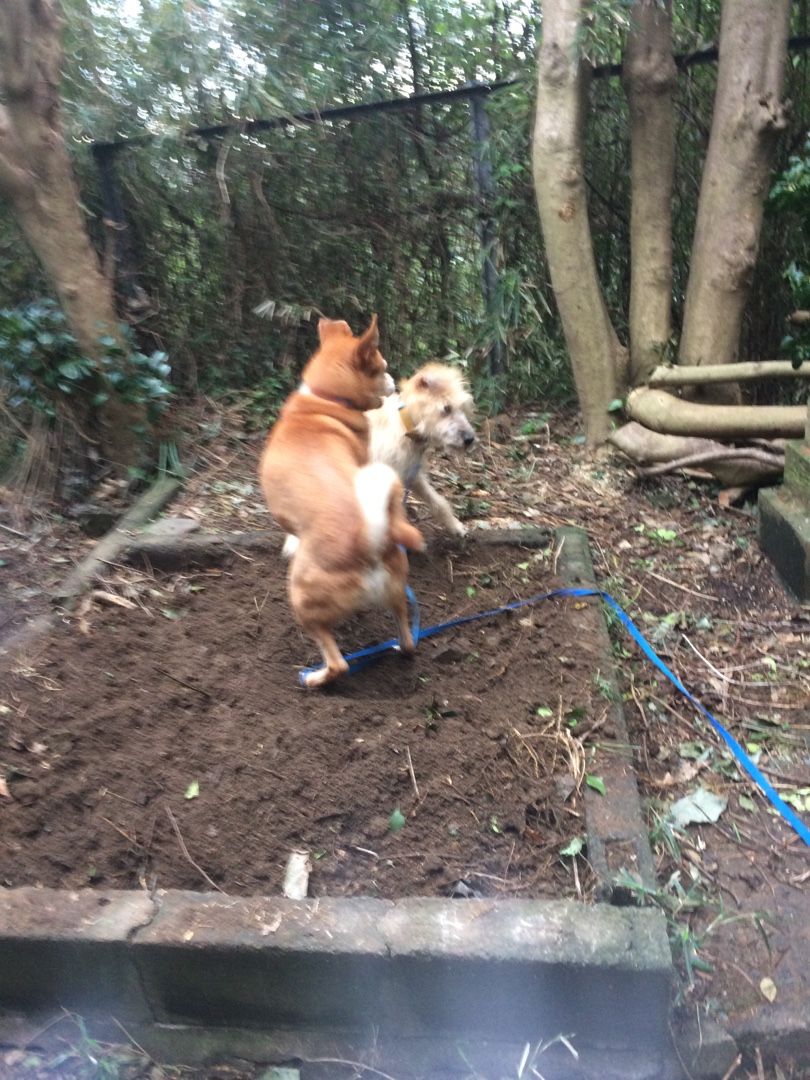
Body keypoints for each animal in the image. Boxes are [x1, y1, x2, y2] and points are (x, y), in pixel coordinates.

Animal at [260, 313, 425, 686]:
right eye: (383, 367)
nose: (394, 380)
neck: (327, 400)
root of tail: (368, 540)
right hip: (398, 588)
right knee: (408, 639)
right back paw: (398, 646)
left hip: (301, 596)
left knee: (339, 664)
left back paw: (315, 678)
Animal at [367, 362, 475, 535]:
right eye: (446, 408)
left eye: (463, 409)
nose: (470, 439)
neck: (403, 427)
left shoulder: (412, 473)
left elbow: (438, 501)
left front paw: (455, 525)